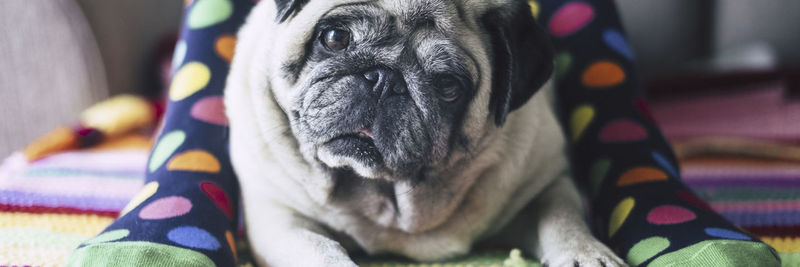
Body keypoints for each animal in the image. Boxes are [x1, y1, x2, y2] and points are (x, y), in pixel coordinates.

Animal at [223, 0, 624, 267]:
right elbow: (321, 251)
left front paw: (586, 253)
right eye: (335, 38)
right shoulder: (280, 219)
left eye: (448, 87)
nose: (383, 79)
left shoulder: (546, 182)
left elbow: (562, 217)